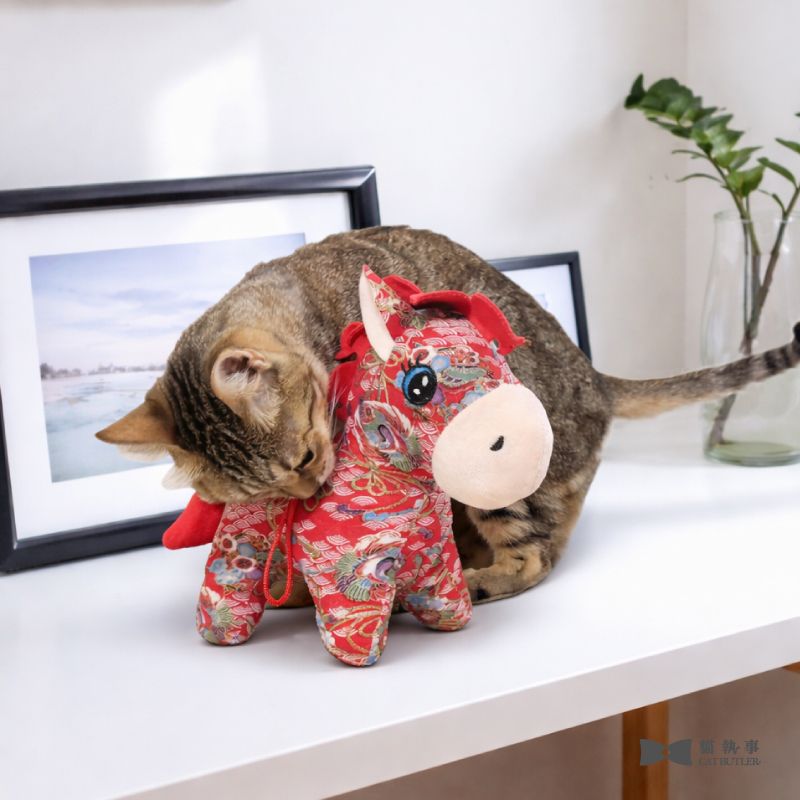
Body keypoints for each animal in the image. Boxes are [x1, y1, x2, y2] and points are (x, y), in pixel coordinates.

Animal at [96, 226, 800, 603]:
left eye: (306, 456)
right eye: (263, 494)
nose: (309, 488)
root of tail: (595, 382)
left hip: (490, 458)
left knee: (536, 557)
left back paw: (479, 579)